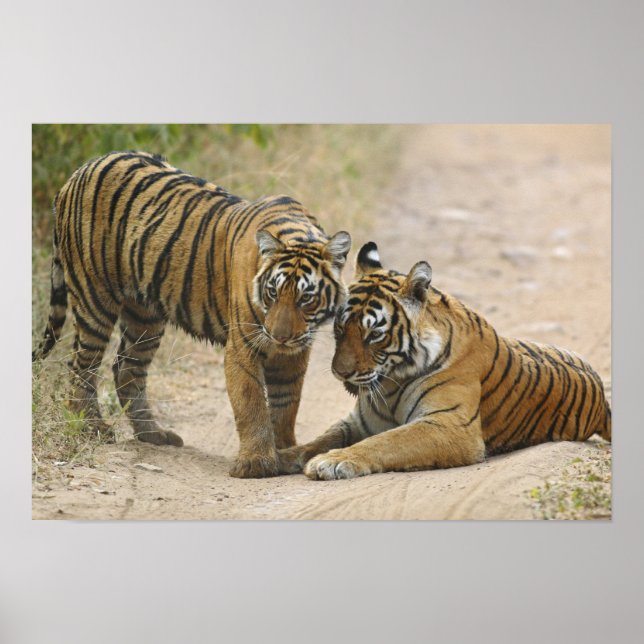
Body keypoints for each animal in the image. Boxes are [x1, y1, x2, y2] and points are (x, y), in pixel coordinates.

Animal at [32, 151, 351, 478]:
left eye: (306, 298)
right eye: (273, 293)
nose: (280, 337)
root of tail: (78, 172)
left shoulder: (294, 354)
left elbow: (286, 403)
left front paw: (285, 450)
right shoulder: (244, 345)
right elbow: (251, 403)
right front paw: (257, 463)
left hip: (145, 316)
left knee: (128, 367)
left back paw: (152, 434)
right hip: (94, 296)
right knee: (82, 365)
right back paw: (92, 427)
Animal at [277, 241, 611, 480]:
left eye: (374, 335)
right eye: (339, 328)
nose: (340, 372)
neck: (392, 382)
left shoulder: (450, 425)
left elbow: (387, 441)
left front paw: (333, 461)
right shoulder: (359, 420)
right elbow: (321, 439)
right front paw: (281, 457)